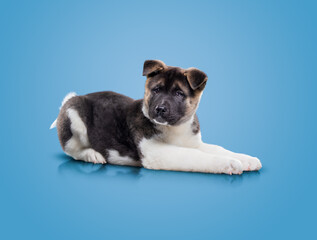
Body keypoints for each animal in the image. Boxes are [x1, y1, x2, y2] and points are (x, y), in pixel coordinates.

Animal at [50, 60, 262, 174]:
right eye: (156, 90)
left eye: (179, 94)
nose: (160, 109)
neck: (175, 128)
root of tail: (77, 97)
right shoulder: (157, 152)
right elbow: (197, 156)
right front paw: (228, 163)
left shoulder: (193, 143)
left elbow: (217, 148)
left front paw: (246, 159)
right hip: (74, 113)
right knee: (71, 149)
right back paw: (92, 154)